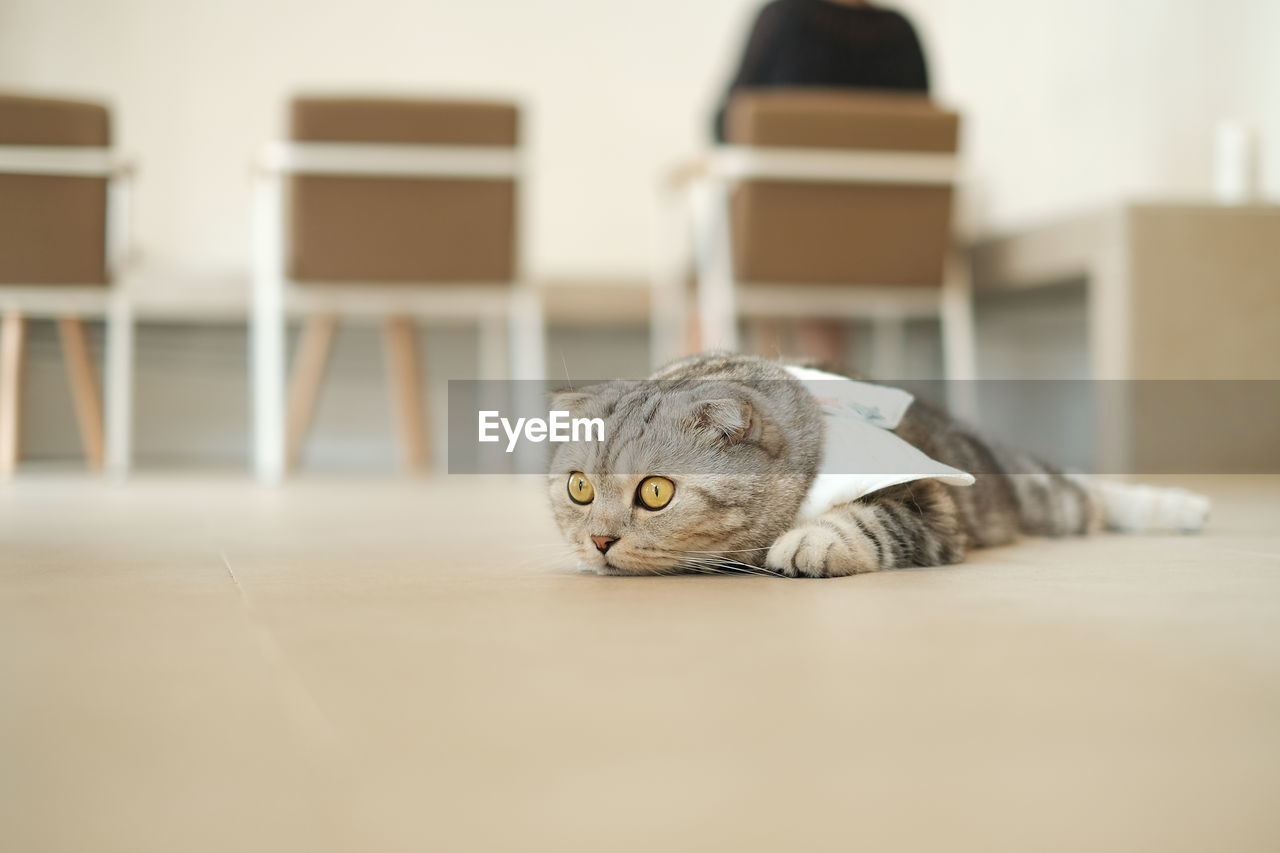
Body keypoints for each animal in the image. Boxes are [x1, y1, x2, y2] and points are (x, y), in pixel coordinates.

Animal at [550, 350, 1208, 578]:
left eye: (655, 493)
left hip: (1036, 494)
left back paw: (1185, 509)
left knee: (1091, 496)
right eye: (579, 489)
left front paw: (810, 541)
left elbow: (870, 519)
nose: (599, 541)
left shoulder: (932, 508)